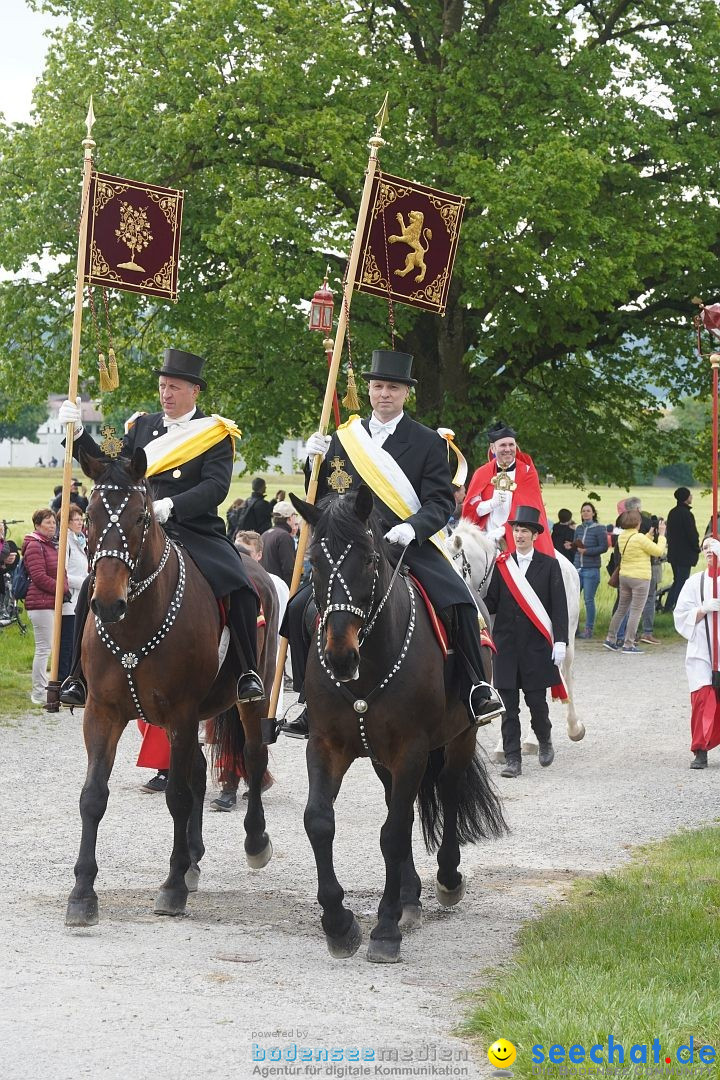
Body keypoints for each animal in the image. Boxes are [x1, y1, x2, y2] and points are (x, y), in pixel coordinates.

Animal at [65, 449, 278, 928]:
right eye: (88, 515)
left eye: (142, 516)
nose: (107, 603)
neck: (134, 623)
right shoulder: (102, 713)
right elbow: (92, 797)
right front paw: (83, 893)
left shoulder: (179, 713)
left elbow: (178, 796)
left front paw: (173, 886)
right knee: (198, 769)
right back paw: (193, 858)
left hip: (248, 699)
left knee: (253, 756)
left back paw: (254, 842)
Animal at [291, 486, 507, 967]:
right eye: (313, 561)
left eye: (371, 559)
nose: (340, 658)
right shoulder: (326, 744)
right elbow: (319, 821)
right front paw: (339, 923)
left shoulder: (411, 749)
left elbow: (392, 833)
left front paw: (385, 929)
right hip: (380, 756)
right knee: (399, 804)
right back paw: (410, 896)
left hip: (459, 737)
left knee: (446, 791)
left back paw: (447, 879)